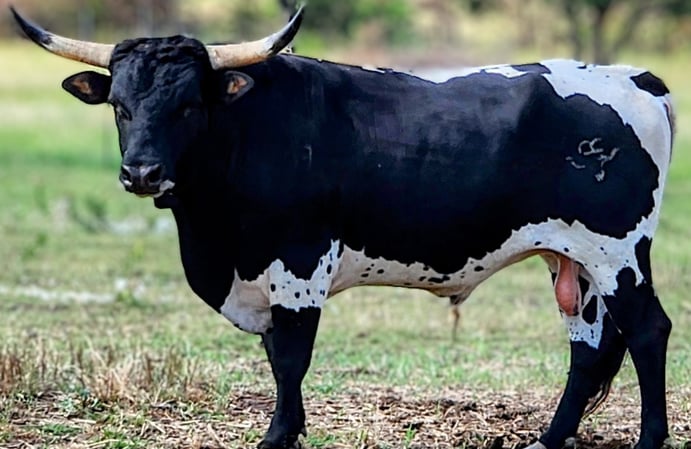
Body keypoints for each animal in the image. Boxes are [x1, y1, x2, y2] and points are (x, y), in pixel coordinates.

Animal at [13, 7, 680, 448]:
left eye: (188, 104)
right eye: (120, 106)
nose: (142, 172)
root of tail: (634, 78)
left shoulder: (299, 261)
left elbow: (290, 357)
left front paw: (277, 437)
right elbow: (274, 353)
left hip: (617, 251)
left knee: (647, 331)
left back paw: (649, 440)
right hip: (573, 260)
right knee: (589, 347)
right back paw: (548, 439)